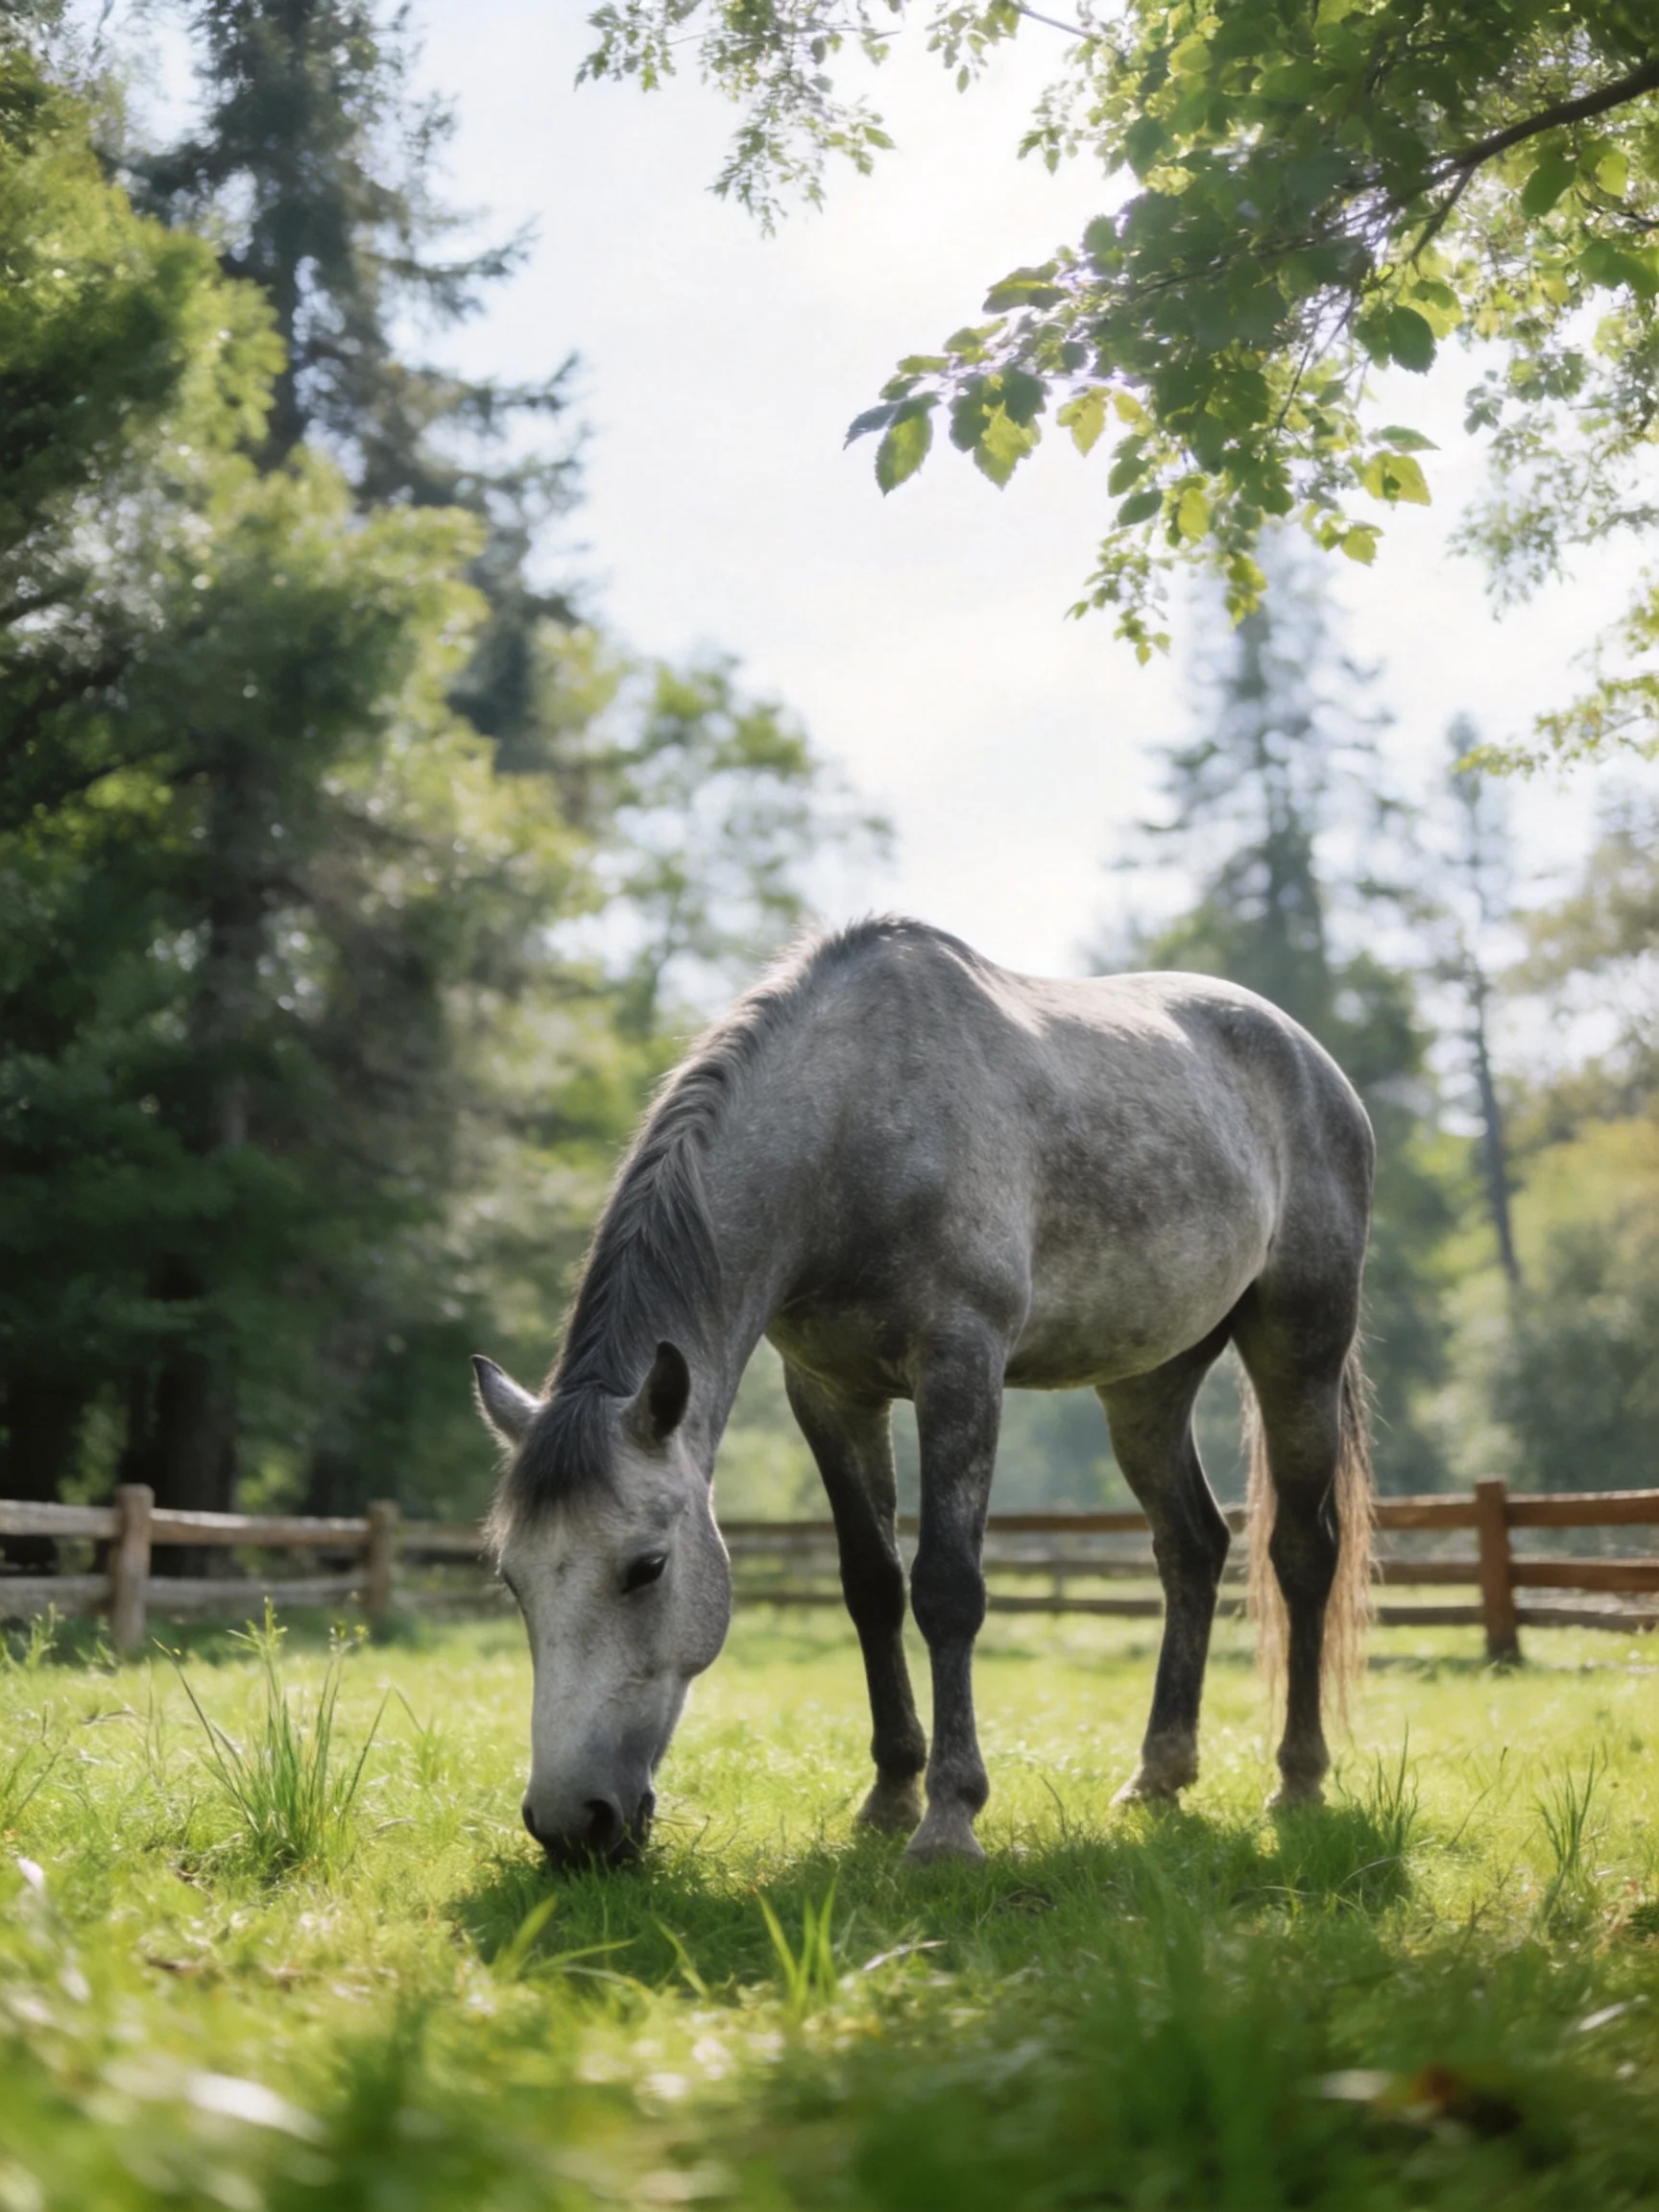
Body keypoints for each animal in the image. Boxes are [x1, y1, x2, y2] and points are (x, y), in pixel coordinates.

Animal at [473, 917, 1374, 1868]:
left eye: (646, 1568)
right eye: (512, 1578)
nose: (571, 1825)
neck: (848, 1129)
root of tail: (1313, 1061)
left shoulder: (960, 1367)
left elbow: (948, 1587)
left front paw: (948, 1820)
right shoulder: (828, 1392)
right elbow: (872, 1585)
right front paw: (888, 1796)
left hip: (1300, 1347)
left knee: (1301, 1552)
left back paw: (1298, 1781)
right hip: (1147, 1383)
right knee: (1191, 1547)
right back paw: (1157, 1778)